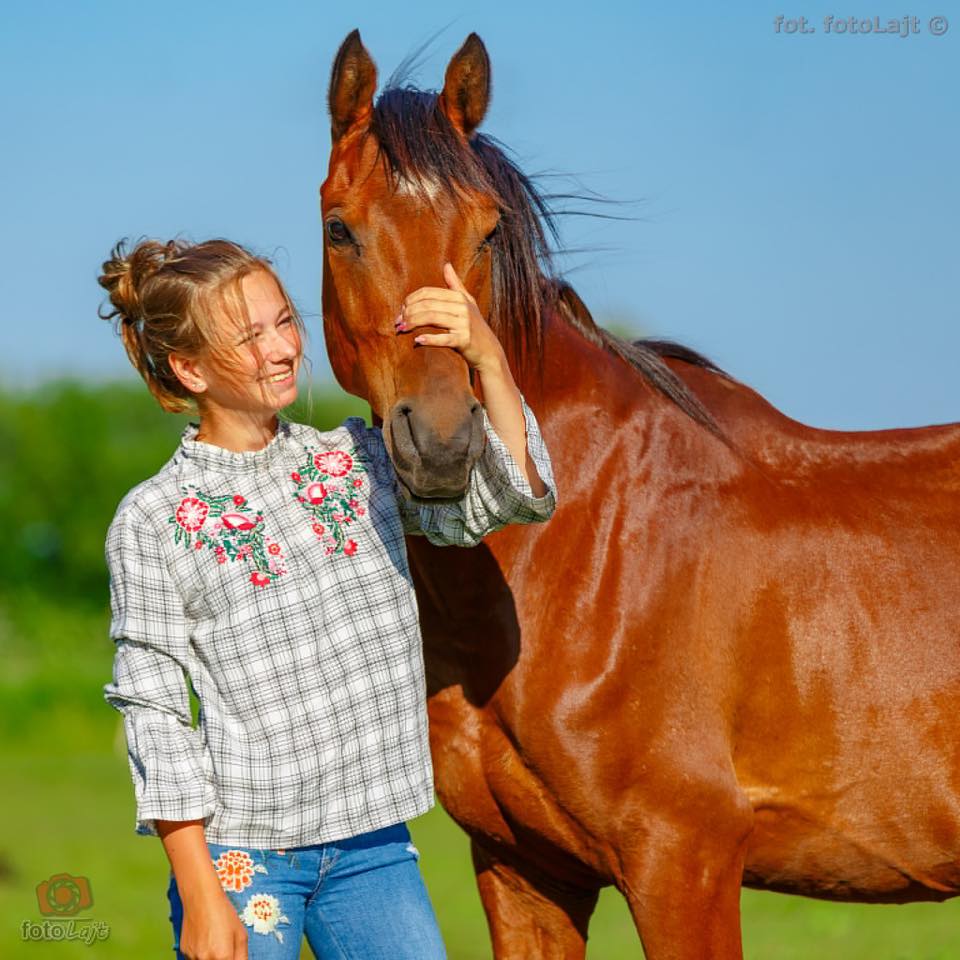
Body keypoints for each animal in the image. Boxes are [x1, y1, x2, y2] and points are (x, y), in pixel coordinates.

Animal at [320, 30, 960, 960]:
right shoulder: (524, 869)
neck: (591, 538)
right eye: (341, 229)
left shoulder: (683, 861)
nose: (443, 443)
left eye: (488, 231)